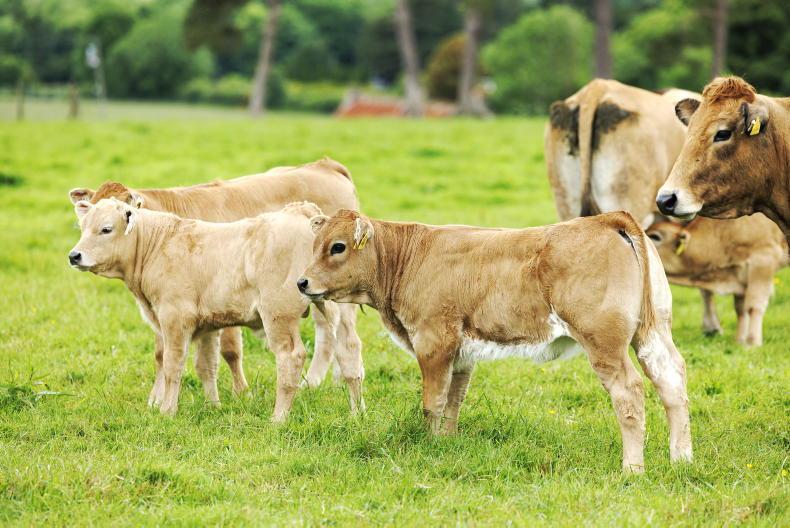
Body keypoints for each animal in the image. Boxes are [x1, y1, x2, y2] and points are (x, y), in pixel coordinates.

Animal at [68, 158, 359, 404]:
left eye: (107, 228)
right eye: (84, 220)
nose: (75, 255)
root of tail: (324, 165)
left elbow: (229, 351)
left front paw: (242, 393)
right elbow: (163, 355)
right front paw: (156, 400)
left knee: (333, 337)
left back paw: (313, 382)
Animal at [297, 210, 692, 472]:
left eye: (337, 247)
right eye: (314, 244)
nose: (302, 282)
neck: (409, 258)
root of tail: (607, 218)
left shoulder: (433, 340)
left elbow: (432, 403)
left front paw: (428, 444)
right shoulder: (462, 351)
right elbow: (454, 401)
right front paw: (447, 442)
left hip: (604, 342)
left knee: (629, 392)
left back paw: (632, 468)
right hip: (653, 332)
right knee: (672, 383)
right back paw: (681, 459)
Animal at [647, 214, 787, 346]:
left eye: (655, 236)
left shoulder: (764, 260)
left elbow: (753, 306)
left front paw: (752, 343)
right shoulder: (739, 275)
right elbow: (740, 309)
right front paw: (740, 341)